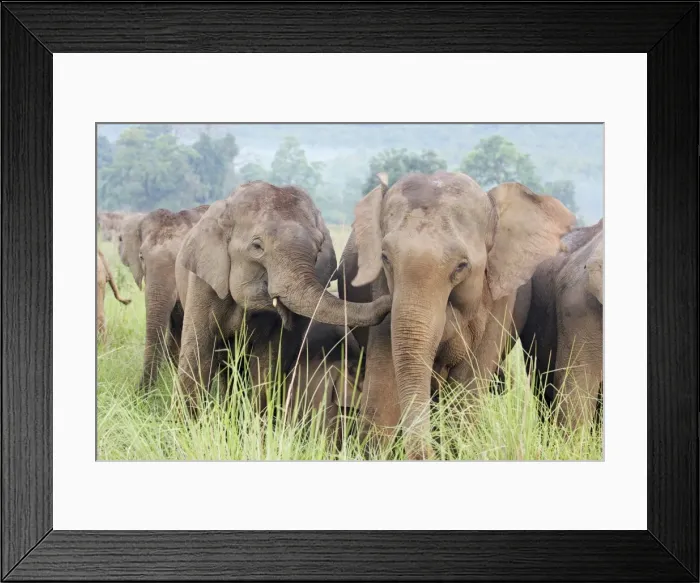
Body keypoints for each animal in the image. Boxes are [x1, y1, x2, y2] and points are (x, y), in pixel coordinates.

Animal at [174, 180, 392, 414]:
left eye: (318, 249)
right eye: (257, 246)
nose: (390, 300)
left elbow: (267, 361)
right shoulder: (203, 284)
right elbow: (199, 354)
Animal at [337, 171, 575, 459]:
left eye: (462, 266)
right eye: (385, 258)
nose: (424, 455)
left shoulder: (499, 299)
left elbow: (467, 387)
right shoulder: (381, 287)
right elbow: (384, 382)